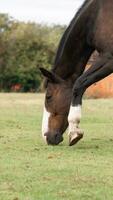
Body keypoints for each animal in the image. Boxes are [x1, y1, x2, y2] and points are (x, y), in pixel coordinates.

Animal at [40, 0, 113, 145]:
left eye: (48, 96)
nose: (46, 136)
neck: (97, 16)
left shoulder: (108, 58)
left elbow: (79, 84)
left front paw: (74, 131)